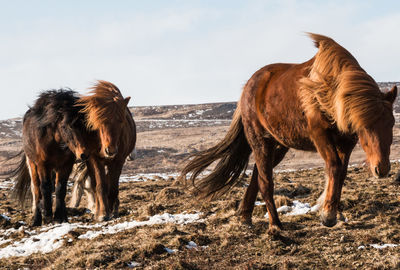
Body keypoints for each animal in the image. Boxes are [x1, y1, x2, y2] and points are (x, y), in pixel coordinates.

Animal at [7, 90, 89, 226]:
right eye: (65, 126)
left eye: (83, 124)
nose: (83, 154)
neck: (54, 141)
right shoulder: (43, 165)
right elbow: (45, 187)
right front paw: (48, 216)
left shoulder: (66, 165)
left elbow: (61, 189)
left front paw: (60, 217)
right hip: (33, 164)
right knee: (36, 189)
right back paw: (37, 219)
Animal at [180, 33, 396, 232]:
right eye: (364, 126)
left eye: (392, 123)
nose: (382, 169)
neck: (330, 94)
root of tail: (248, 87)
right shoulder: (320, 136)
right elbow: (334, 166)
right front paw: (327, 215)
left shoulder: (346, 143)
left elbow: (341, 172)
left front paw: (332, 212)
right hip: (260, 141)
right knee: (265, 181)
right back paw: (275, 225)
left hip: (278, 145)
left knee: (258, 175)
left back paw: (245, 217)